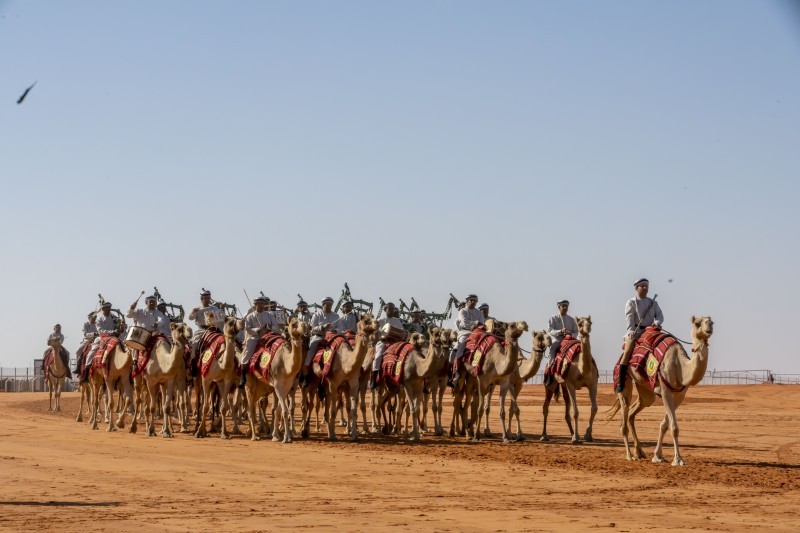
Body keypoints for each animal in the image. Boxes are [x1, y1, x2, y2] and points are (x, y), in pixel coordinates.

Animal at [540, 314, 596, 442]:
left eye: (590, 322)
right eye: (579, 323)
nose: (587, 328)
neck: (581, 369)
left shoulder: (593, 384)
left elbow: (594, 408)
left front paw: (587, 435)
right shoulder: (571, 384)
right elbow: (575, 411)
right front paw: (576, 438)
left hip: (563, 384)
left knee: (566, 407)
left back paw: (571, 433)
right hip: (551, 383)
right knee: (545, 407)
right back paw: (544, 435)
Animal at [608, 316, 716, 466]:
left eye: (712, 322)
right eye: (697, 323)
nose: (709, 328)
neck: (680, 367)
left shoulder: (680, 395)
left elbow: (665, 425)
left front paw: (657, 456)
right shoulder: (665, 391)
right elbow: (674, 427)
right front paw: (678, 459)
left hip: (645, 388)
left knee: (634, 410)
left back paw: (639, 452)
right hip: (623, 377)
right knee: (624, 410)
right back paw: (629, 455)